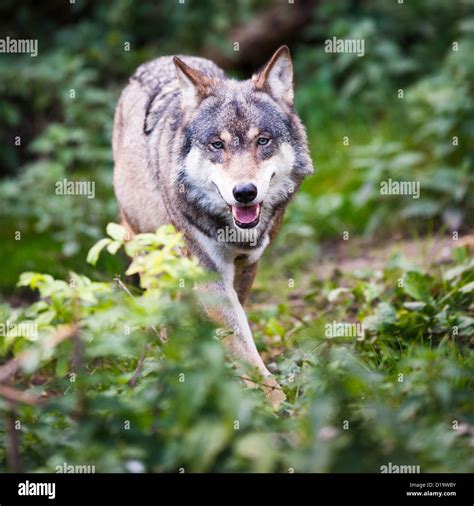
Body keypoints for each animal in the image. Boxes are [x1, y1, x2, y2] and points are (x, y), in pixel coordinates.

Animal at [112, 45, 312, 406]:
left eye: (263, 141)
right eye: (217, 145)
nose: (244, 192)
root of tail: (155, 62)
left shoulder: (247, 265)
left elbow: (239, 333)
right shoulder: (208, 273)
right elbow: (243, 346)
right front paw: (277, 405)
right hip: (150, 253)